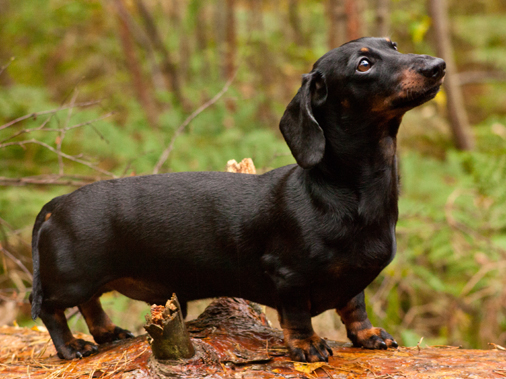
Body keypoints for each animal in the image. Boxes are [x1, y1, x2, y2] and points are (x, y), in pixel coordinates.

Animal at [30, 37, 442, 362]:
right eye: (363, 64)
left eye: (394, 46)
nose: (437, 65)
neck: (344, 191)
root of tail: (58, 203)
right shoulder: (288, 276)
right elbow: (297, 316)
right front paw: (307, 345)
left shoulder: (354, 276)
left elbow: (355, 304)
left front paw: (368, 335)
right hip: (72, 279)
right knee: (53, 310)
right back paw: (72, 347)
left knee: (90, 304)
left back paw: (108, 332)